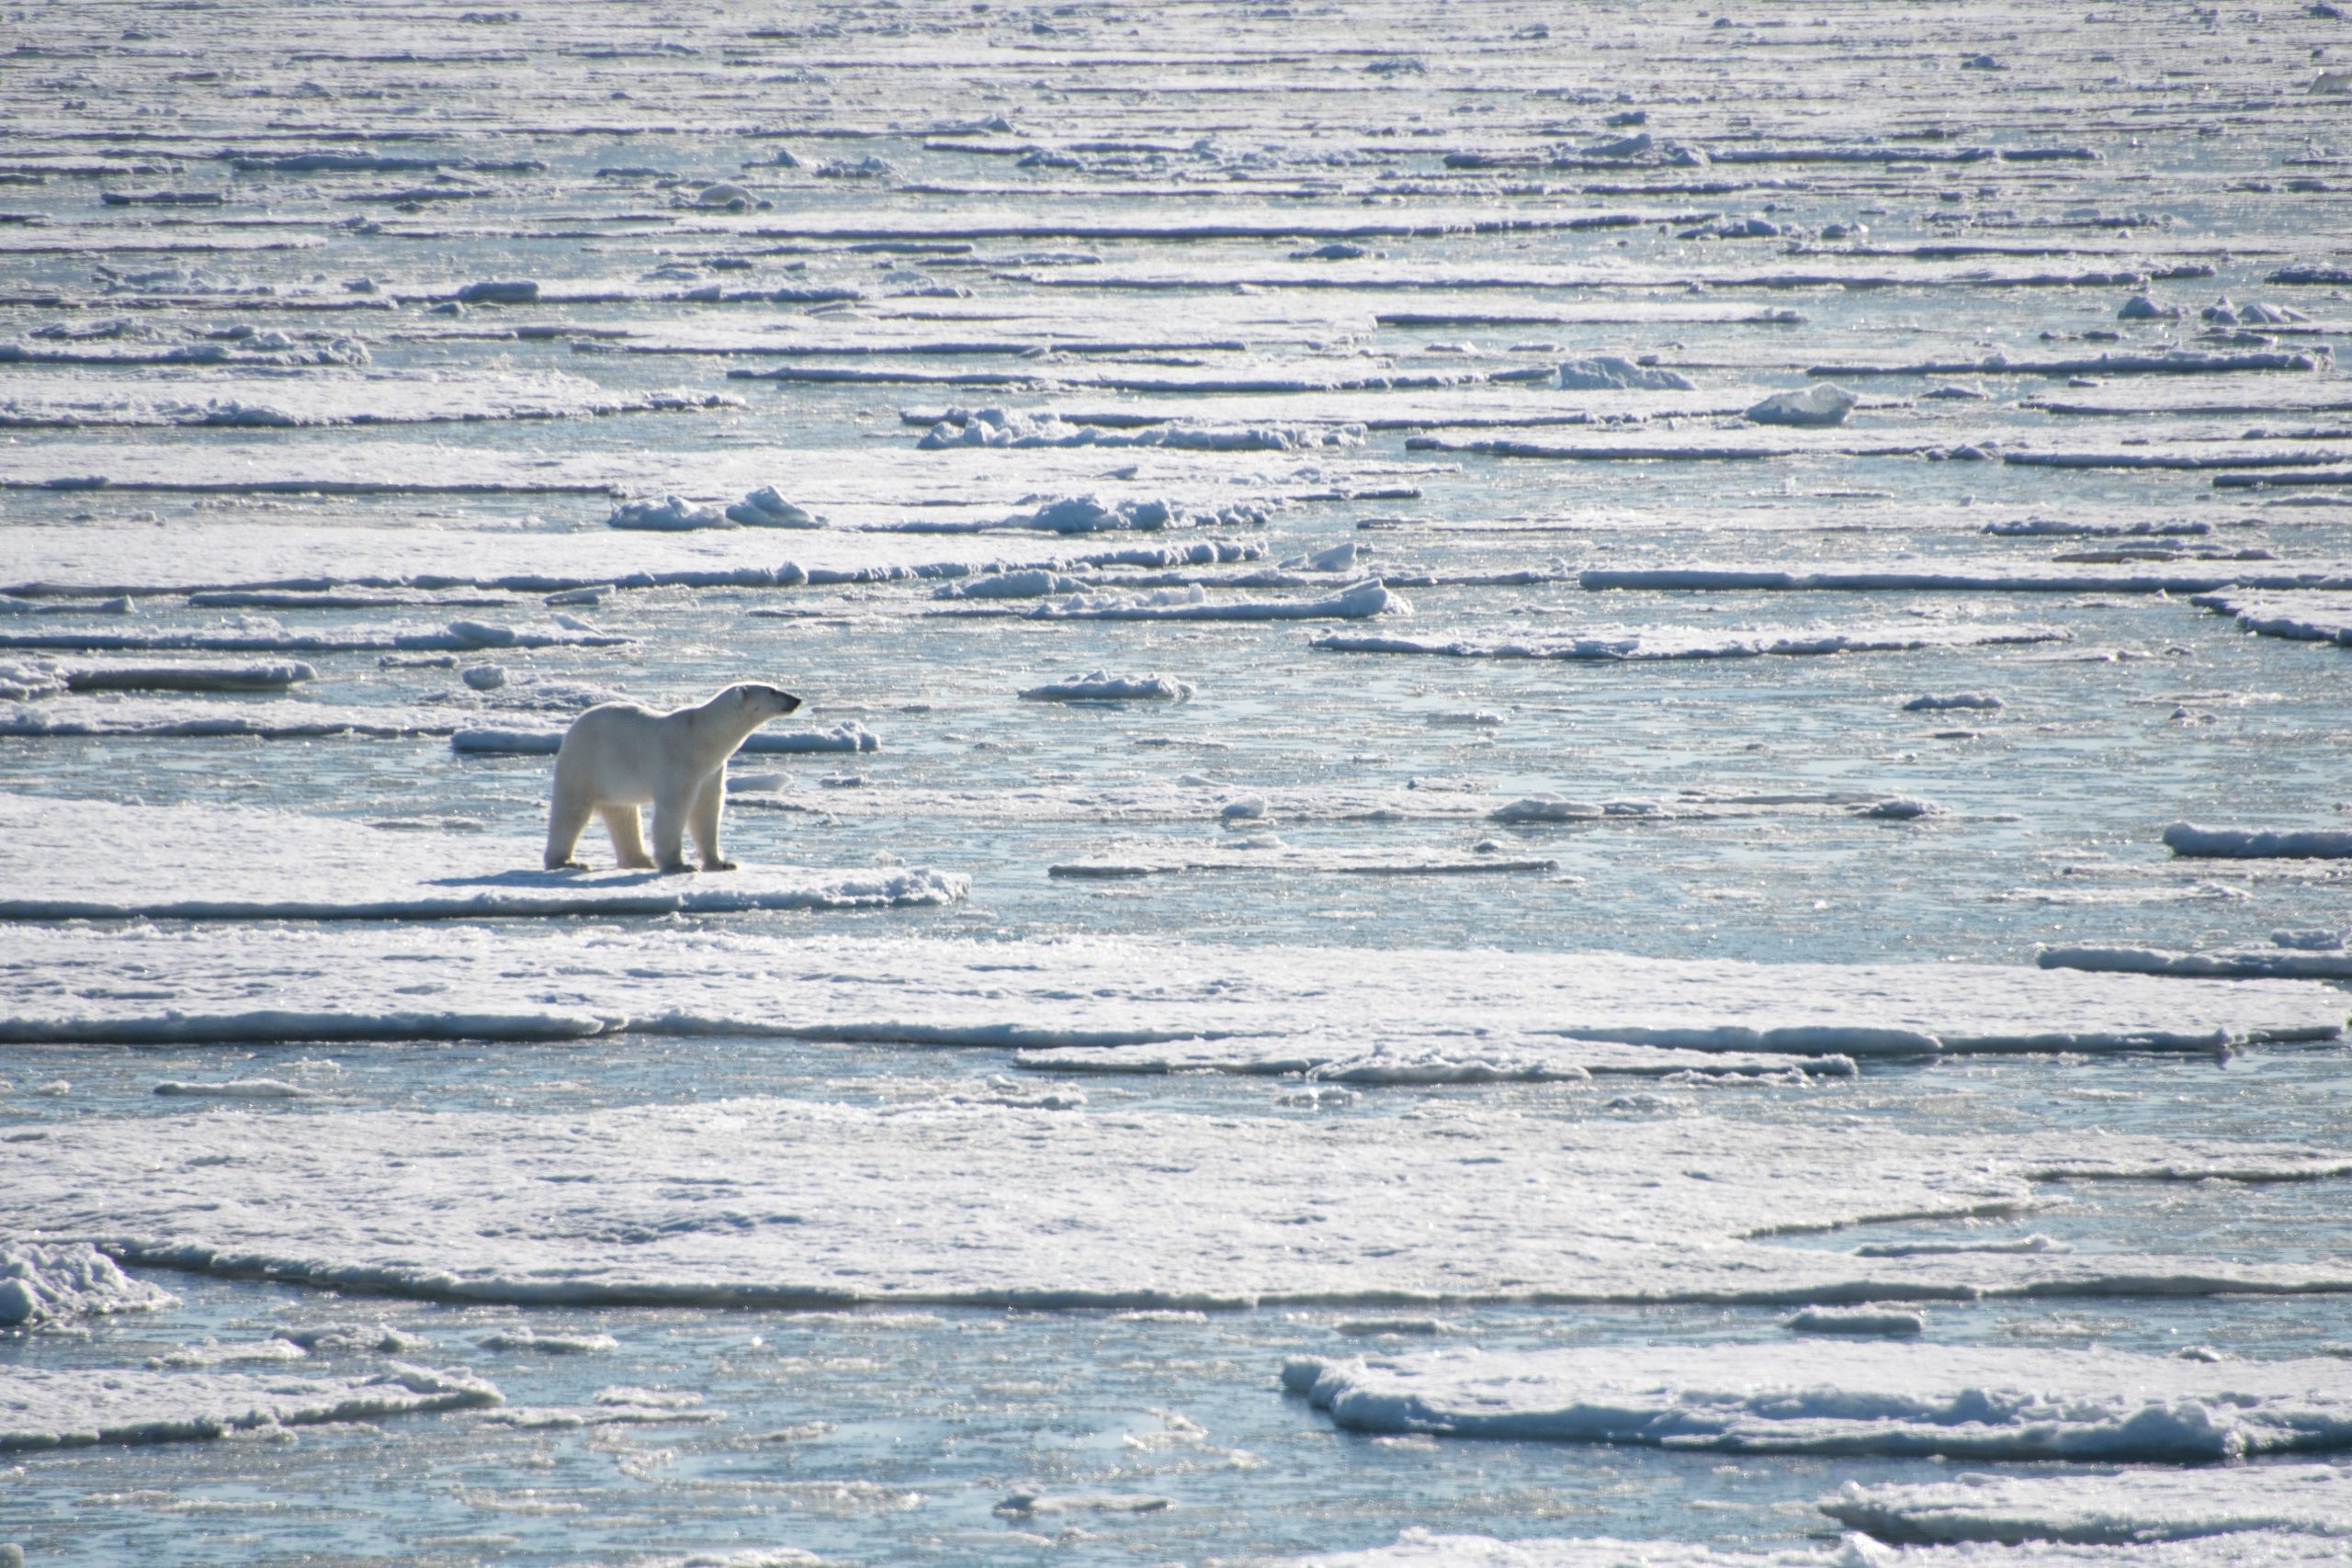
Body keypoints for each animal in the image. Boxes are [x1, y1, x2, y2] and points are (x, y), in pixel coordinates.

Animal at [544, 682, 802, 874]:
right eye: (772, 690)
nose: (796, 699)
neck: (702, 738)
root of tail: (573, 728)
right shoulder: (678, 760)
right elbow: (675, 807)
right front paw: (679, 865)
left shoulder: (711, 771)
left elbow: (708, 809)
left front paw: (721, 862)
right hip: (586, 763)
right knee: (571, 811)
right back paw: (566, 861)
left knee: (623, 814)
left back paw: (640, 860)